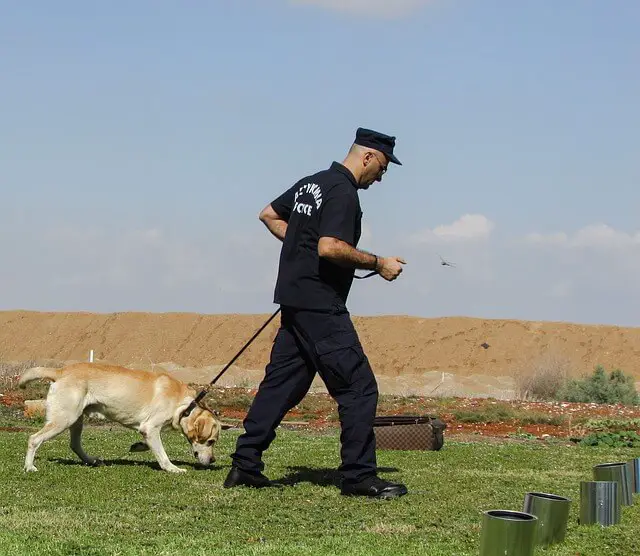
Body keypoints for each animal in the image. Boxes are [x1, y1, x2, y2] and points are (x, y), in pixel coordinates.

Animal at [18, 362, 224, 476]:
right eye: (211, 441)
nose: (213, 459)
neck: (186, 406)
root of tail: (60, 371)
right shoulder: (151, 427)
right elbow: (162, 455)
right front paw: (173, 469)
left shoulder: (148, 430)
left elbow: (151, 444)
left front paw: (139, 446)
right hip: (64, 418)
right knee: (34, 439)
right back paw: (29, 466)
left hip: (76, 419)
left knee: (75, 444)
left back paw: (92, 460)